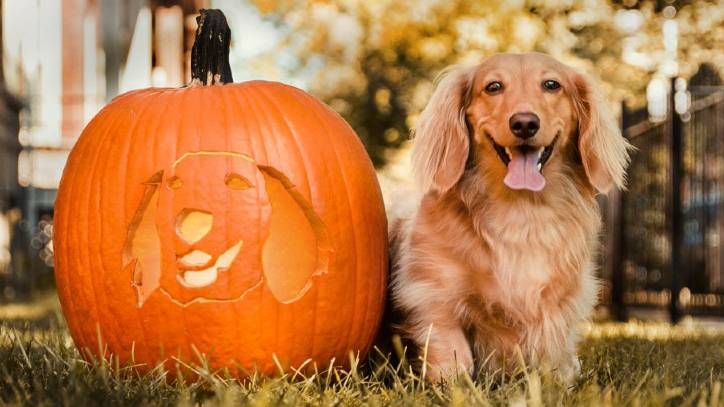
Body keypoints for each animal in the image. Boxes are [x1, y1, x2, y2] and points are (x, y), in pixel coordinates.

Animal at [388, 52, 632, 384]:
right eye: (493, 86)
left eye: (552, 84)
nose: (525, 123)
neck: (521, 210)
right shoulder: (431, 293)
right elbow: (452, 351)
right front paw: (454, 382)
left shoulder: (558, 305)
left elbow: (553, 352)